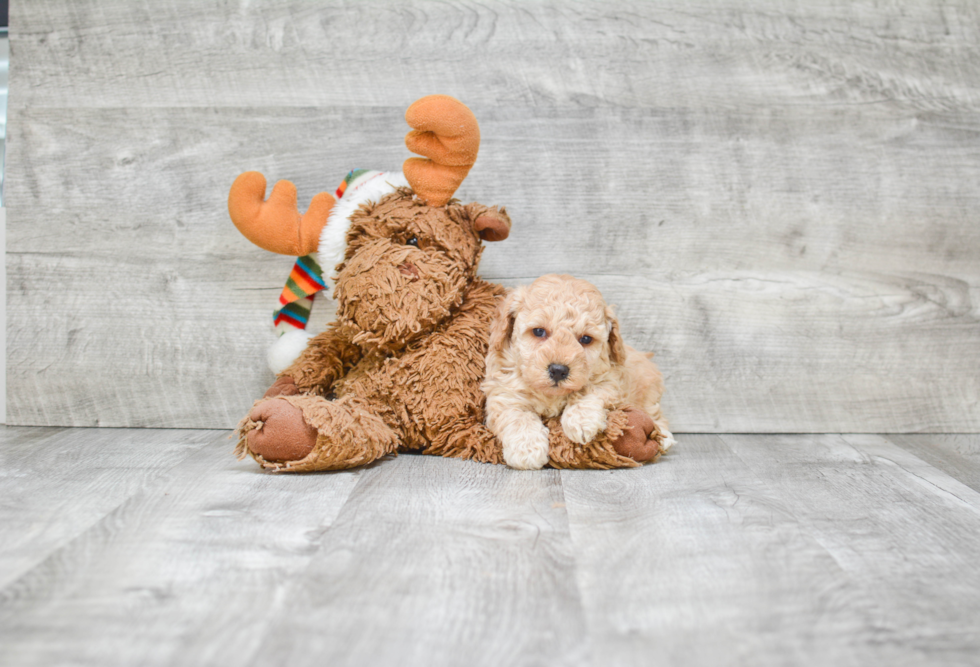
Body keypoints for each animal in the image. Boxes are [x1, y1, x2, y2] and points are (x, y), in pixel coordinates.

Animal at [482, 274, 672, 472]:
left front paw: (581, 421)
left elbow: (589, 391)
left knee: (657, 416)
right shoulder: (504, 391)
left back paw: (664, 438)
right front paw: (527, 450)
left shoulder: (611, 380)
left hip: (648, 394)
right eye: (539, 331)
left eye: (586, 339)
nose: (558, 370)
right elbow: (517, 415)